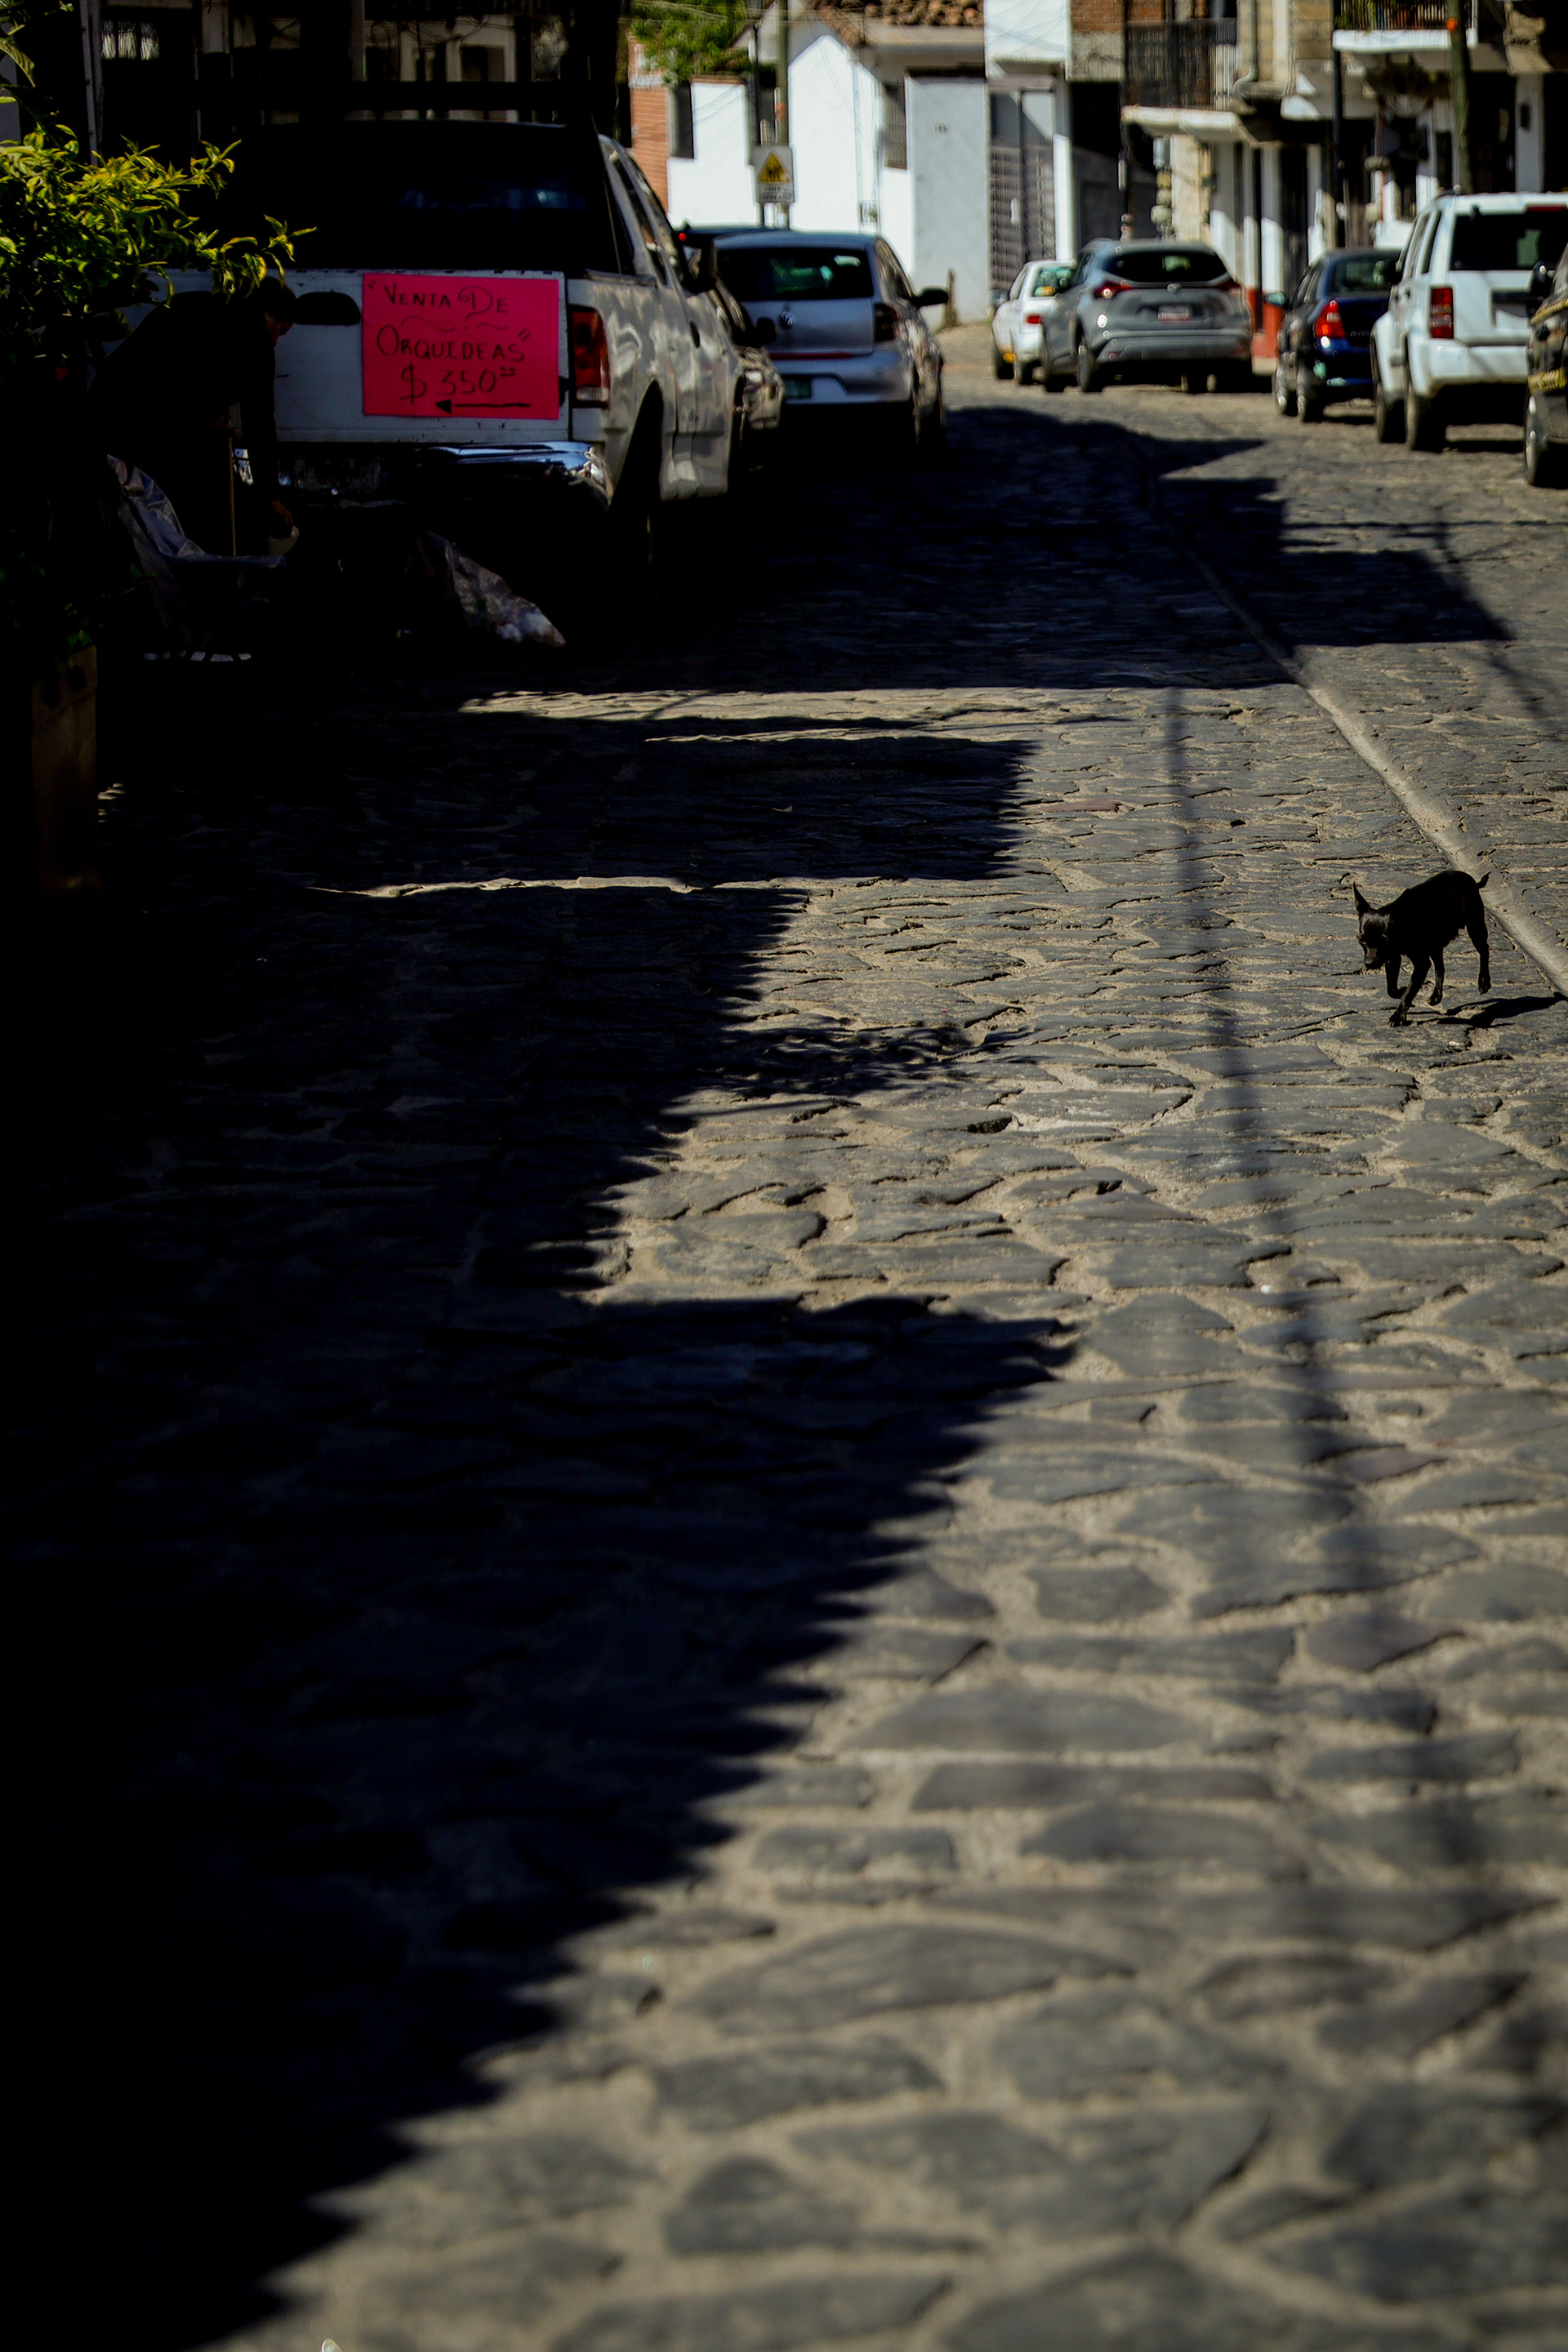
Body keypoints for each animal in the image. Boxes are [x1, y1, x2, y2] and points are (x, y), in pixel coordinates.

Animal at [1353, 869, 1490, 1026]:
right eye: (1362, 940)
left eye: (1385, 941)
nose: (1369, 963)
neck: (1404, 922)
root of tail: (1470, 879)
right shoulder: (1392, 958)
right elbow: (1391, 989)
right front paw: (1402, 990)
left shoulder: (1420, 964)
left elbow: (1410, 992)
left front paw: (1398, 1015)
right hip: (1435, 946)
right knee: (1440, 968)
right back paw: (1436, 995)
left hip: (1475, 927)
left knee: (1484, 951)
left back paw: (1484, 981)